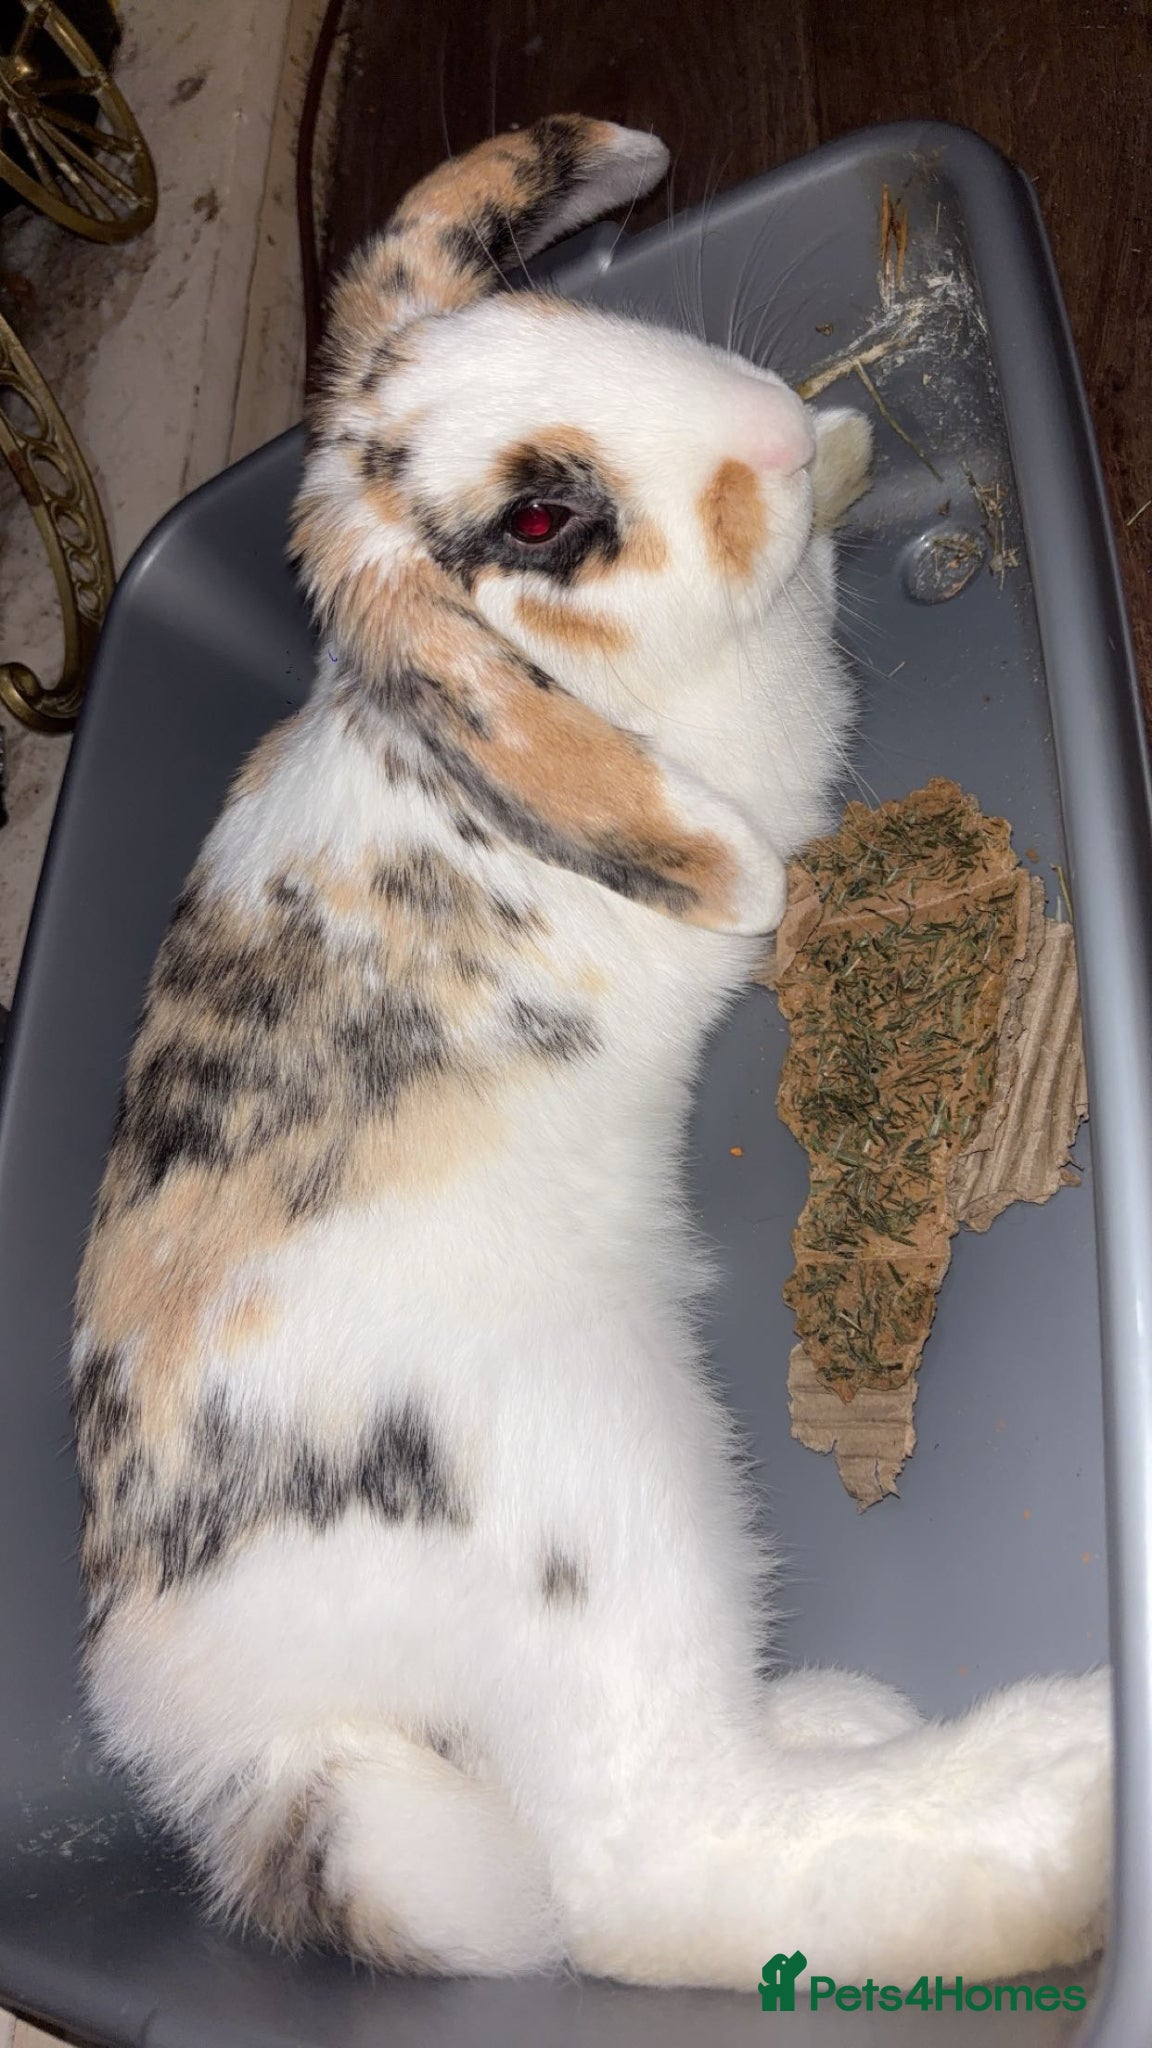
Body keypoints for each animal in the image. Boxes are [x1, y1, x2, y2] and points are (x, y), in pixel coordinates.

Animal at [70, 116, 1110, 1991]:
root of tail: (257, 1753)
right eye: (546, 519)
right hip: (618, 1514)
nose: (766, 428)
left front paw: (849, 446)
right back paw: (1054, 1788)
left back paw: (847, 1714)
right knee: (657, 1862)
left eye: (554, 313)